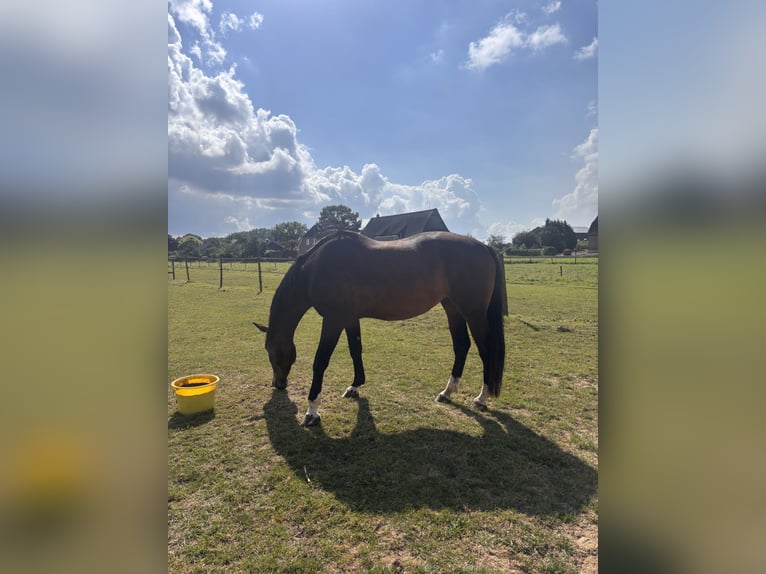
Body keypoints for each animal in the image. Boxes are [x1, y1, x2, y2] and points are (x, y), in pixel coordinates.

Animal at [254, 229, 507, 427]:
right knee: (462, 345)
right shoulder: (349, 318)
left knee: (486, 351)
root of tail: (484, 247)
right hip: (452, 307)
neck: (314, 269)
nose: (278, 384)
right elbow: (355, 349)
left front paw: (312, 411)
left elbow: (320, 362)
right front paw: (355, 386)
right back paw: (447, 393)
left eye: (269, 351)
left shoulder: (333, 320)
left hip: (473, 313)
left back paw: (481, 398)